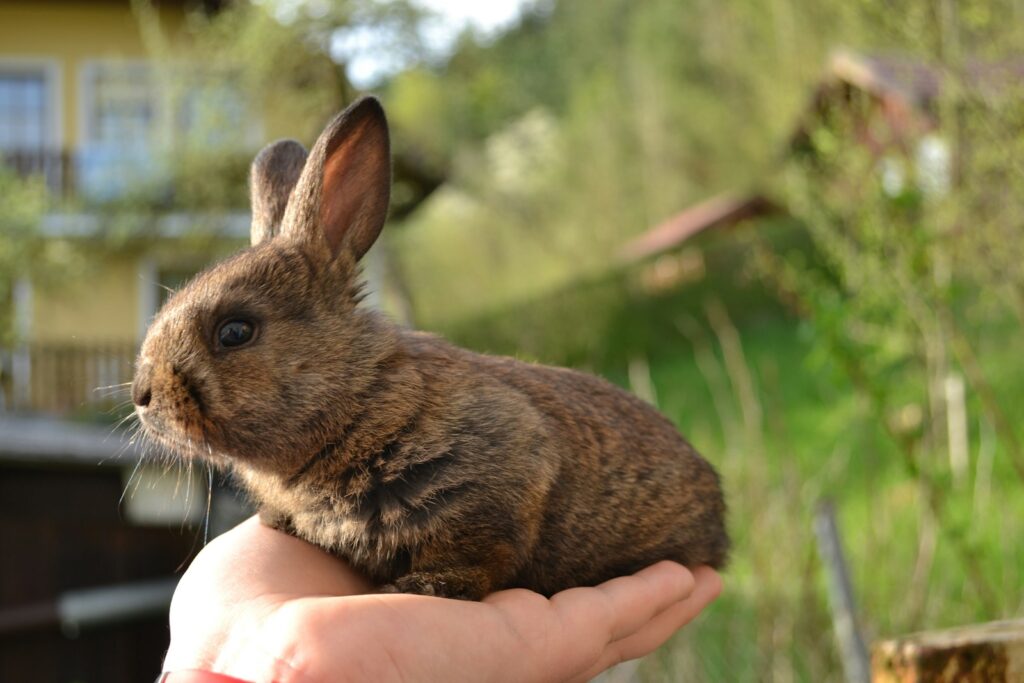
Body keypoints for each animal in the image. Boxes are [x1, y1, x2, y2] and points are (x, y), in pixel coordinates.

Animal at [131, 96, 729, 600]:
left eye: (235, 331)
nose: (142, 396)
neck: (358, 396)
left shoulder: (499, 487)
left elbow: (476, 556)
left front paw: (421, 587)